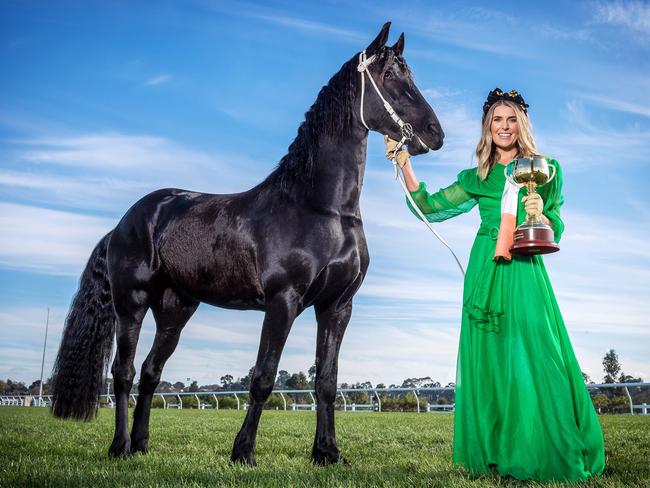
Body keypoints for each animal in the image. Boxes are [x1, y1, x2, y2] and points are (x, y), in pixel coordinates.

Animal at [53, 22, 442, 466]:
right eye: (390, 76)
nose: (435, 134)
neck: (320, 208)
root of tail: (124, 222)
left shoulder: (337, 307)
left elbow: (326, 381)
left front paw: (327, 453)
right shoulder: (282, 302)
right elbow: (263, 377)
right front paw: (243, 453)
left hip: (175, 311)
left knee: (150, 374)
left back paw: (141, 446)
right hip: (130, 304)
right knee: (124, 373)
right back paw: (119, 447)